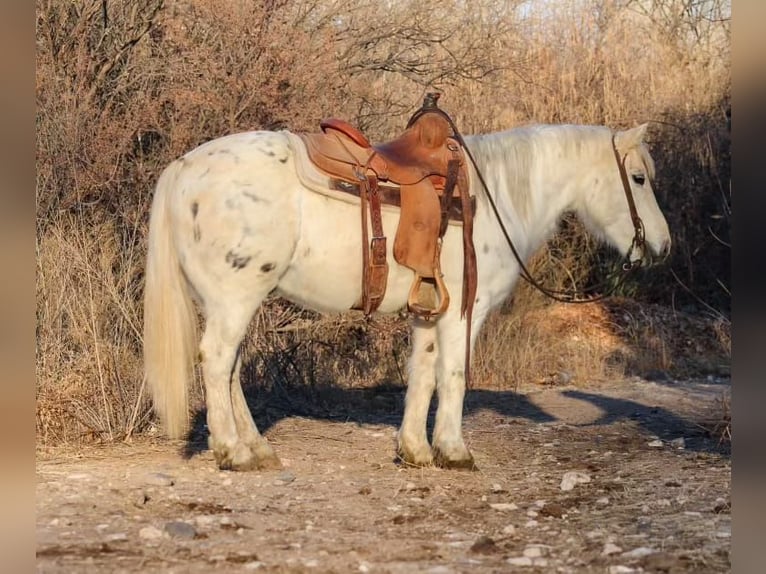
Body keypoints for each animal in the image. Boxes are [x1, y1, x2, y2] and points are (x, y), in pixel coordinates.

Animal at [143, 122, 671, 471]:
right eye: (639, 178)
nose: (662, 245)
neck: (491, 199)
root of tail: (183, 168)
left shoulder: (428, 313)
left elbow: (423, 374)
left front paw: (416, 449)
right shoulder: (464, 312)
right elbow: (453, 376)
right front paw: (455, 451)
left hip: (228, 301)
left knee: (230, 369)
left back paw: (257, 448)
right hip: (236, 298)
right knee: (217, 362)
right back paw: (232, 452)